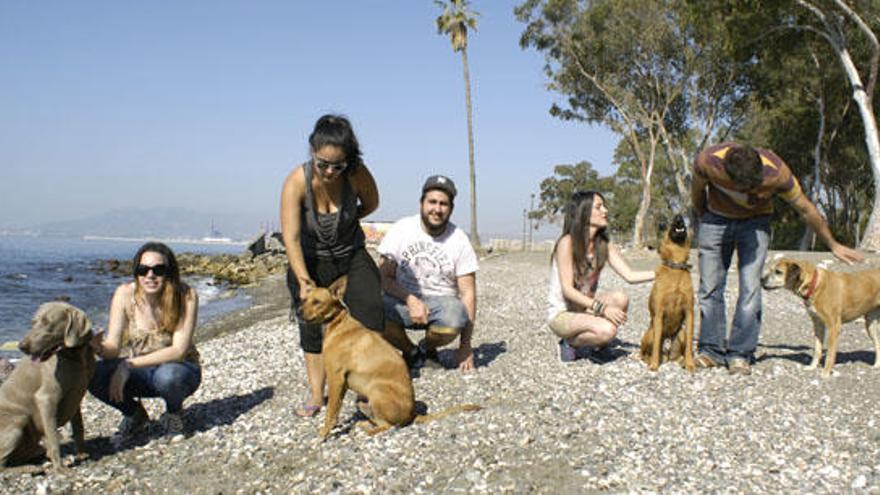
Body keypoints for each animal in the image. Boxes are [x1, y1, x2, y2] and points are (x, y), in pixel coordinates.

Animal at [0, 302, 96, 468]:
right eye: (33, 322)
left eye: (47, 322)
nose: (21, 346)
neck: (75, 357)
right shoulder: (46, 398)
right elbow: (53, 435)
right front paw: (60, 467)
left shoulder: (76, 396)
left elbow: (79, 427)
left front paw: (82, 455)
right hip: (18, 420)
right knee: (3, 464)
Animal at [302, 278, 482, 440]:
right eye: (304, 300)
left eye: (317, 302)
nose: (298, 311)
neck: (337, 323)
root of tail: (412, 414)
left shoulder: (336, 378)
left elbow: (331, 411)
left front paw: (324, 434)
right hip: (362, 400)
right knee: (380, 422)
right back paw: (365, 425)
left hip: (376, 390)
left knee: (389, 426)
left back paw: (368, 432)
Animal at [640, 214, 696, 372]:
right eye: (666, 222)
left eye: (682, 218)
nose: (678, 217)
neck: (676, 265)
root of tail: (668, 338)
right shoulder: (659, 314)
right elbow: (656, 346)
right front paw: (654, 364)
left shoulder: (690, 312)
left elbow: (690, 345)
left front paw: (690, 363)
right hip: (650, 333)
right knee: (645, 352)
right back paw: (650, 360)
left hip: (681, 334)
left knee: (678, 352)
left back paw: (681, 360)